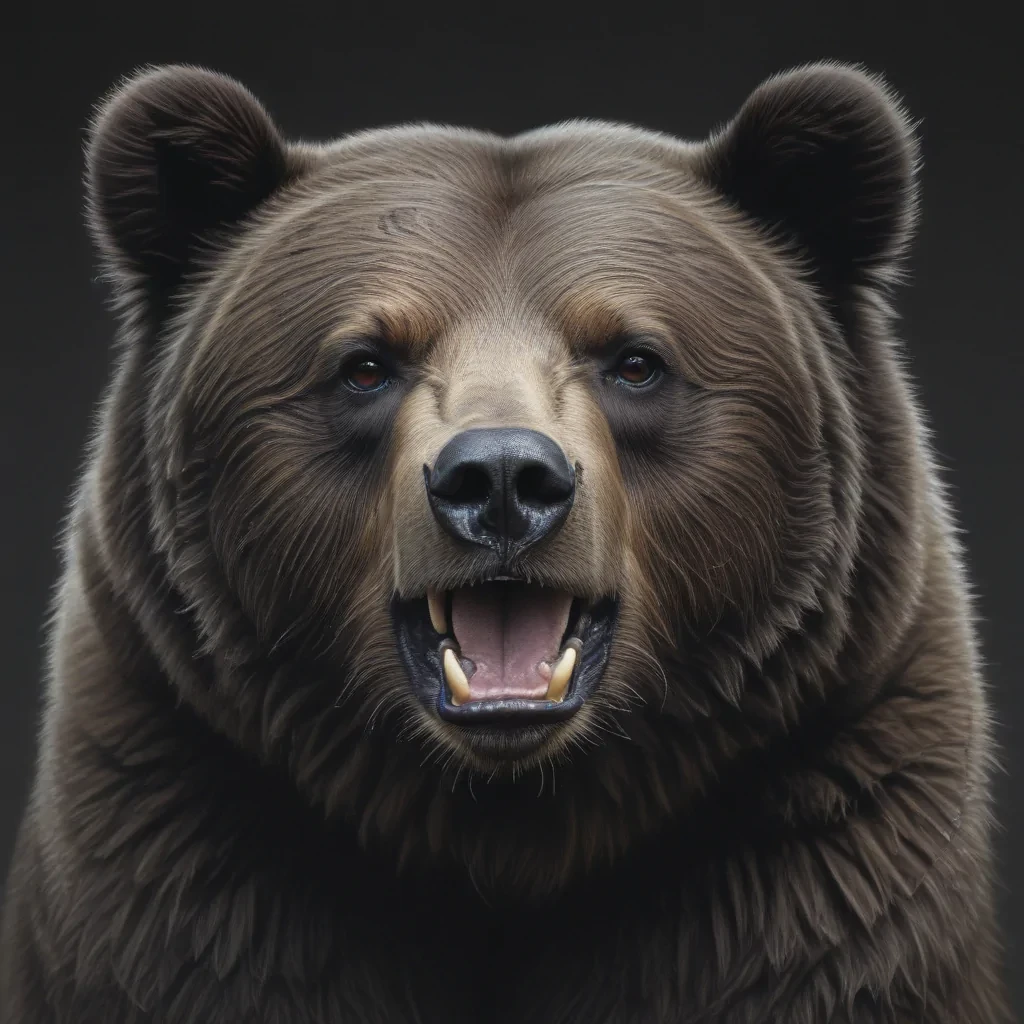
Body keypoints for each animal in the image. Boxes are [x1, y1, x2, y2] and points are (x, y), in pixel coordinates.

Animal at [0, 59, 1014, 1023]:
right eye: (365, 363)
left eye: (635, 360)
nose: (498, 479)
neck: (508, 829)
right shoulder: (195, 832)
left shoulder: (809, 843)